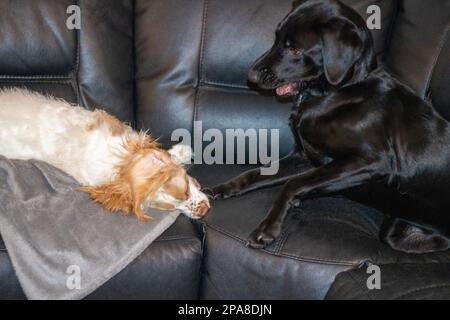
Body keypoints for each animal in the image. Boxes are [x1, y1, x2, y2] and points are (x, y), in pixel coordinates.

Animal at [213, 0, 450, 254]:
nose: (251, 76)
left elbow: (292, 183)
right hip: (397, 226)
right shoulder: (304, 158)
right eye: (276, 38)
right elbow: (255, 173)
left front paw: (267, 229)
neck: (336, 93)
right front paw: (222, 188)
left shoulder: (369, 161)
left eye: (296, 51)